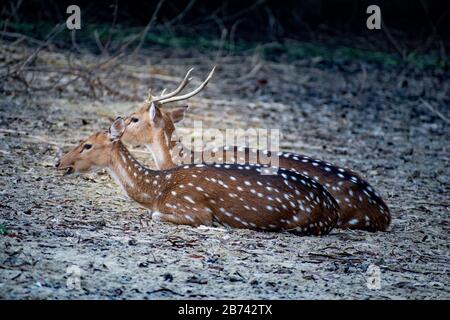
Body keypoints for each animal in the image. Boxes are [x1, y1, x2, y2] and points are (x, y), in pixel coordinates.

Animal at [56, 117, 340, 235]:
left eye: (87, 145)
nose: (58, 162)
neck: (157, 189)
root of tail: (333, 208)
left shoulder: (193, 208)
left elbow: (157, 216)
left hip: (303, 223)